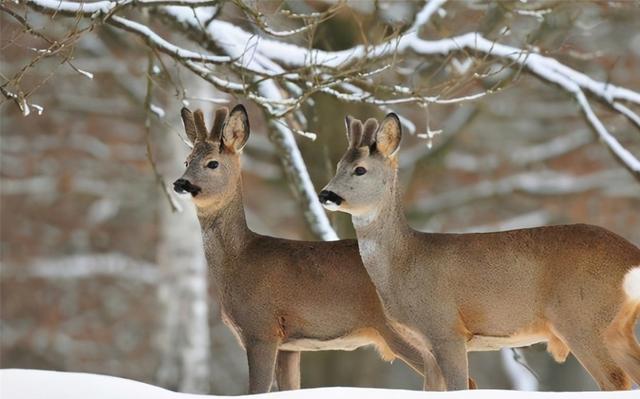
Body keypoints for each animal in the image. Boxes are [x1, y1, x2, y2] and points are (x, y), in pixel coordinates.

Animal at [172, 105, 448, 394]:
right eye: (186, 161)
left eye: (212, 163)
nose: (180, 183)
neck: (239, 259)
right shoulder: (289, 345)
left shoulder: (261, 328)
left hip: (403, 331)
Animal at [320, 112, 640, 390]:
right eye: (337, 166)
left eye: (360, 169)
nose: (325, 194)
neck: (404, 262)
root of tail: (631, 256)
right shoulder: (424, 344)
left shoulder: (446, 328)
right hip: (615, 327)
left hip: (581, 317)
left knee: (614, 380)